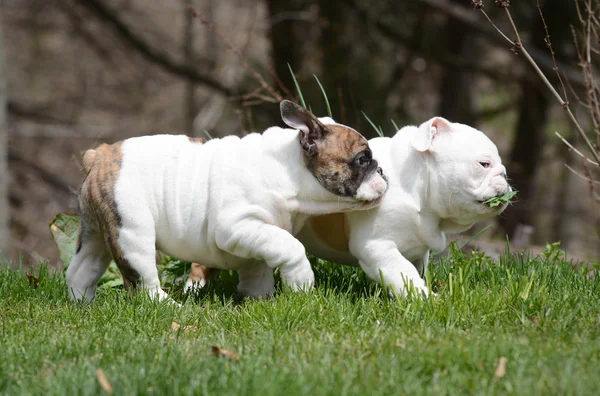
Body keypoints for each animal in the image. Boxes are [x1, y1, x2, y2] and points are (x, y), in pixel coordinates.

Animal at [65, 100, 390, 302]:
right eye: (363, 159)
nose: (382, 170)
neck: (289, 172)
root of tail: (100, 155)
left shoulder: (259, 235)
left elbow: (258, 266)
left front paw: (258, 299)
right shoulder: (238, 225)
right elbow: (292, 249)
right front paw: (301, 283)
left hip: (95, 231)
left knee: (82, 269)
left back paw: (82, 303)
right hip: (131, 233)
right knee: (143, 282)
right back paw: (170, 308)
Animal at [186, 116, 510, 296]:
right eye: (484, 164)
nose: (505, 175)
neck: (418, 188)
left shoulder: (420, 251)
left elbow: (414, 269)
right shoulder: (377, 246)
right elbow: (403, 273)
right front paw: (425, 299)